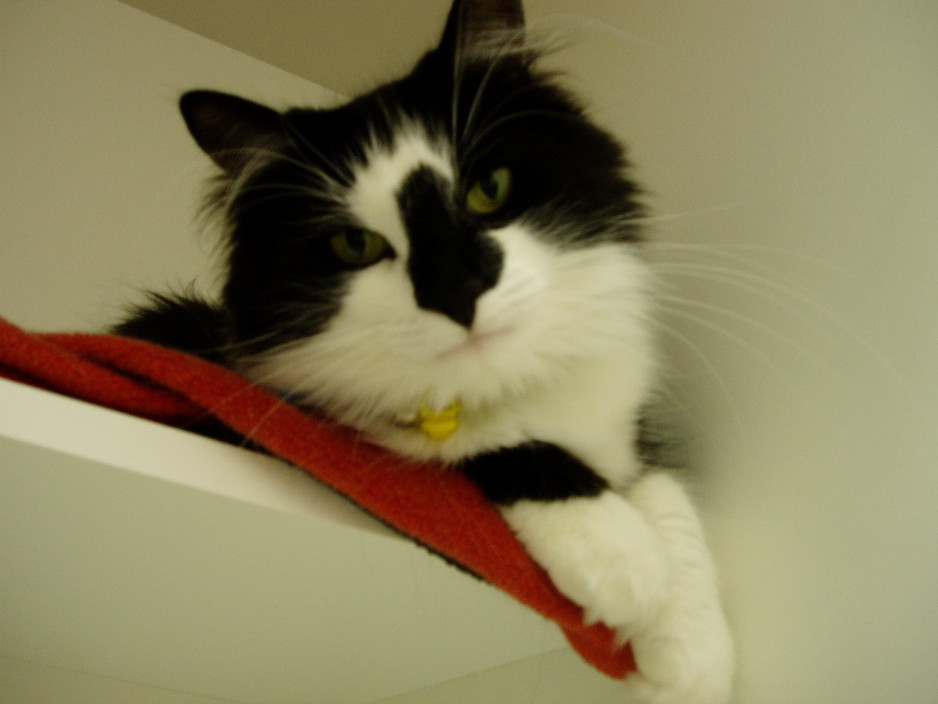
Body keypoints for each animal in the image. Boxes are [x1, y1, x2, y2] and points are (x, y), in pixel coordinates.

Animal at [115, 1, 732, 700]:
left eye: (489, 189)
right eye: (356, 245)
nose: (457, 291)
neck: (508, 386)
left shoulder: (629, 428)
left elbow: (665, 489)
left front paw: (694, 657)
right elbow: (493, 449)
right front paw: (620, 556)